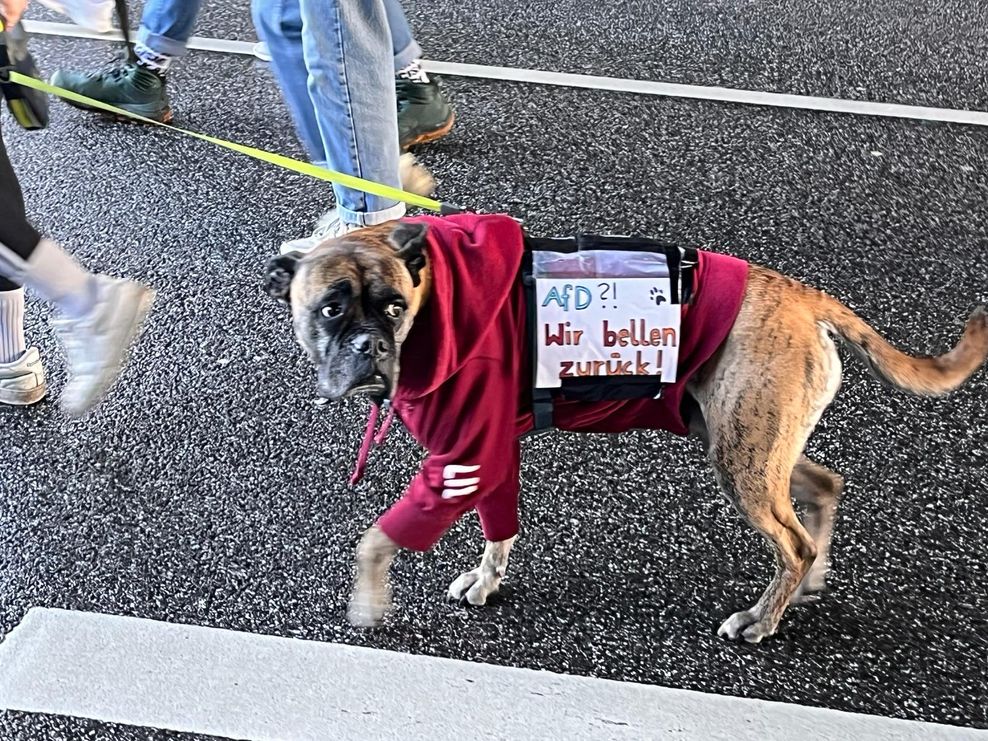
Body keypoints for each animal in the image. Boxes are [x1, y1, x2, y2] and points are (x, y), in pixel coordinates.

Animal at [266, 220, 988, 640]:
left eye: (391, 306)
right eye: (331, 307)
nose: (370, 348)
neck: (435, 295)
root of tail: (800, 295)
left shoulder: (459, 462)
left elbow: (378, 538)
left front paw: (368, 601)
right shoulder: (490, 456)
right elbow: (499, 527)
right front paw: (487, 578)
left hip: (744, 460)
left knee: (793, 543)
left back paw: (762, 617)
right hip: (747, 444)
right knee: (823, 490)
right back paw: (806, 582)